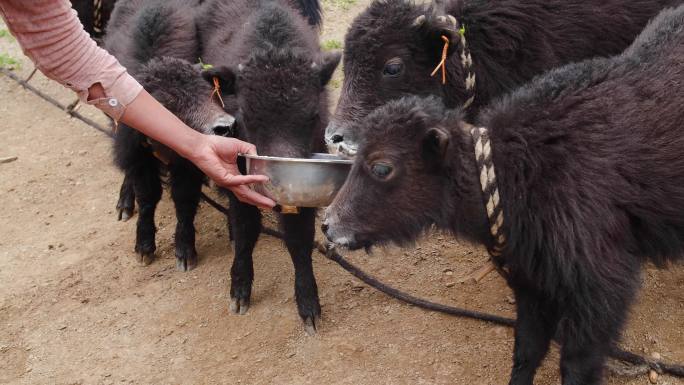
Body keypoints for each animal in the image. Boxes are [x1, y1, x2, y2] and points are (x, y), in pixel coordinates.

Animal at [105, 0, 235, 270]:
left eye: (206, 90)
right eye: (168, 104)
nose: (225, 127)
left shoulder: (189, 163)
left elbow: (184, 199)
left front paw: (185, 252)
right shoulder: (136, 155)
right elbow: (147, 197)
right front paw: (144, 247)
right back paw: (124, 203)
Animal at [196, 0, 340, 330]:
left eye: (313, 115)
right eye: (247, 116)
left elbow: (299, 240)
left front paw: (308, 304)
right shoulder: (238, 176)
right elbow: (245, 230)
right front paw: (239, 289)